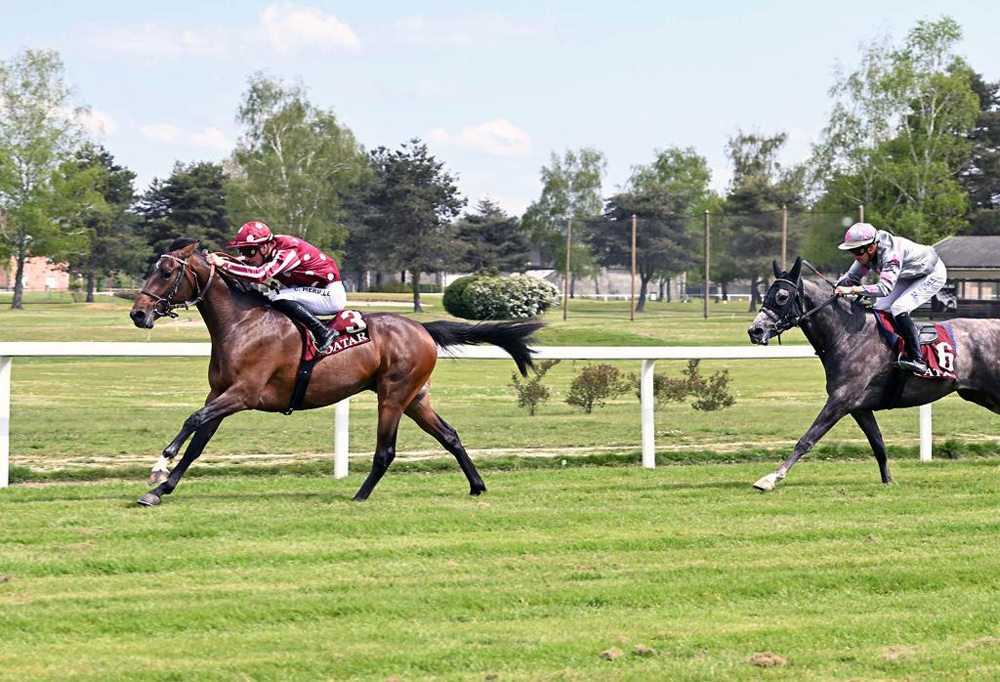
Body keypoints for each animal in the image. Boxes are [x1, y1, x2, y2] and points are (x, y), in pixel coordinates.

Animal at [129, 236, 544, 502]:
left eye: (166, 273)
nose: (138, 314)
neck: (242, 323)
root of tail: (422, 328)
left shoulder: (243, 394)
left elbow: (193, 421)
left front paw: (159, 464)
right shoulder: (220, 392)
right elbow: (199, 441)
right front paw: (160, 489)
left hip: (393, 396)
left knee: (386, 450)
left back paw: (359, 496)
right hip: (415, 399)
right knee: (450, 436)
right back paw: (476, 486)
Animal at [744, 255, 1000, 488]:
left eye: (782, 297)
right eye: (766, 294)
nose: (755, 330)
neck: (846, 334)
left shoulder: (841, 399)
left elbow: (807, 439)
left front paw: (770, 478)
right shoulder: (860, 407)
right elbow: (878, 444)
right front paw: (888, 481)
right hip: (980, 395)